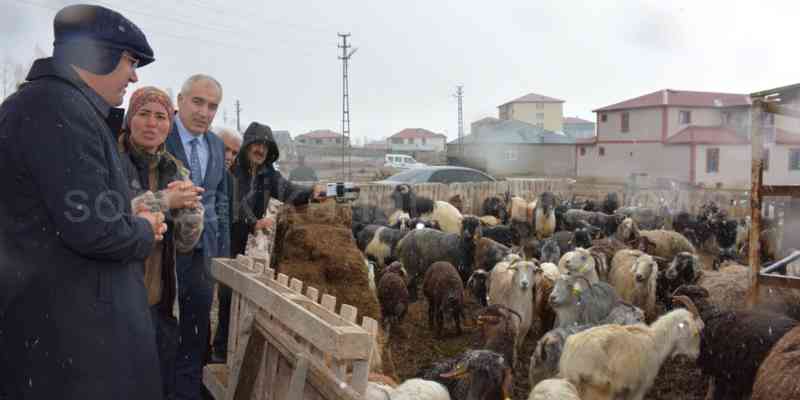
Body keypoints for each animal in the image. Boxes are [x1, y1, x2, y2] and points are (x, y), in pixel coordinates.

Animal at [560, 300, 704, 400]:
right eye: (696, 333)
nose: (696, 355)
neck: (656, 342)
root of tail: (570, 363)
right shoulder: (640, 387)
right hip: (598, 390)